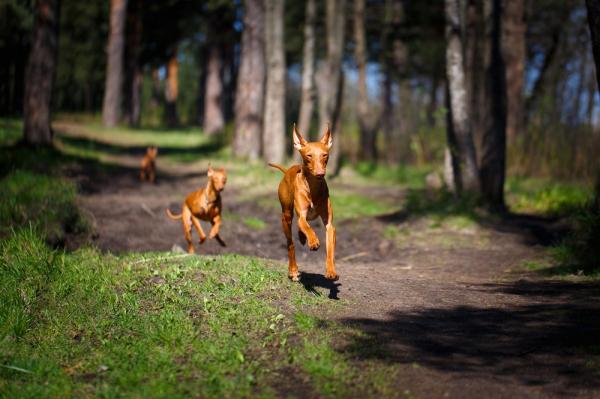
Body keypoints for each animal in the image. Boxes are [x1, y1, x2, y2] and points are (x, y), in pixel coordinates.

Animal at [268, 123, 338, 282]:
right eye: (309, 155)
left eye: (325, 155)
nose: (320, 174)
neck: (313, 187)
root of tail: (288, 170)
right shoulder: (301, 215)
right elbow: (306, 227)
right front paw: (313, 241)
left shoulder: (329, 225)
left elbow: (330, 250)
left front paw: (331, 271)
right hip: (286, 216)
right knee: (291, 244)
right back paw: (293, 270)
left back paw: (301, 237)